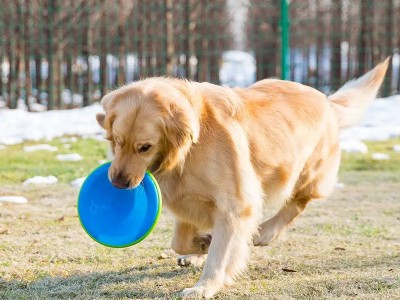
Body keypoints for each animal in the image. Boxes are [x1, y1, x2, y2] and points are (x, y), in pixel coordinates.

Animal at [96, 59, 388, 298]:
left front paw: (205, 285)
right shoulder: (187, 200)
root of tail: (326, 100)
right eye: (117, 141)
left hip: (306, 171)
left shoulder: (235, 204)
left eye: (144, 148)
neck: (189, 149)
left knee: (298, 201)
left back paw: (267, 231)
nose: (117, 183)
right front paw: (201, 245)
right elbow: (180, 242)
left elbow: (222, 252)